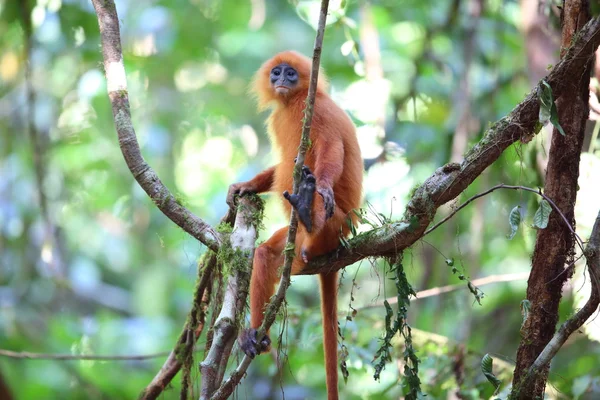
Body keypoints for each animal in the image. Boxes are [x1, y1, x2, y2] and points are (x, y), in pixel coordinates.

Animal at [229, 50, 360, 400]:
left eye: (291, 73)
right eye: (276, 72)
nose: (282, 80)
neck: (294, 100)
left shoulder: (315, 110)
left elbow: (331, 148)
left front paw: (323, 189)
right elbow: (278, 170)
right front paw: (246, 186)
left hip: (336, 227)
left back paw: (308, 212)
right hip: (294, 244)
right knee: (264, 255)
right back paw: (255, 336)